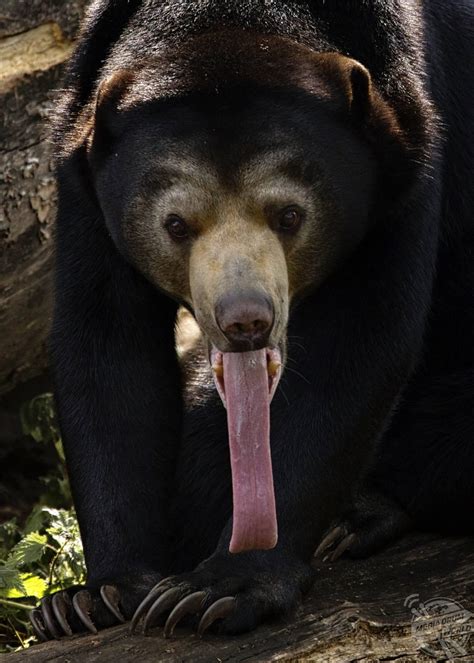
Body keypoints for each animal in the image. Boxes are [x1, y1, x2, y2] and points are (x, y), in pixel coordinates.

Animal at [30, 0, 474, 641]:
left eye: (289, 215)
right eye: (175, 224)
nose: (245, 322)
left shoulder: (409, 149)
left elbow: (355, 346)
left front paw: (214, 590)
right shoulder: (82, 169)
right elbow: (106, 347)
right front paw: (91, 599)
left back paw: (360, 516)